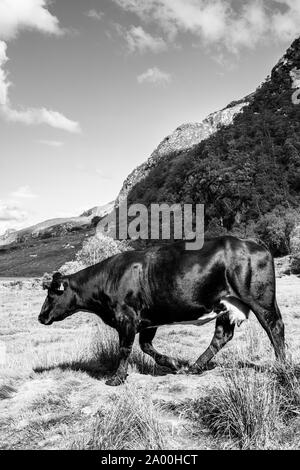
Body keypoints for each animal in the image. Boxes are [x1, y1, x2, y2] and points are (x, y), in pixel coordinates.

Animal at [38, 235, 284, 386]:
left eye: (52, 294)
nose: (41, 316)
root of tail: (251, 242)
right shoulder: (149, 320)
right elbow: (146, 346)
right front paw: (174, 364)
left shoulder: (126, 318)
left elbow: (124, 348)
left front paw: (117, 378)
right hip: (227, 305)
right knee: (222, 336)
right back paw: (194, 367)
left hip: (260, 299)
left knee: (274, 327)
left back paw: (282, 366)